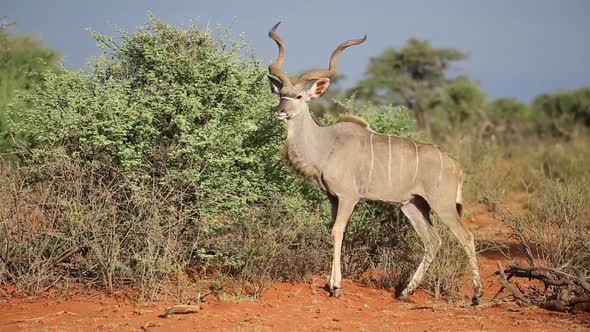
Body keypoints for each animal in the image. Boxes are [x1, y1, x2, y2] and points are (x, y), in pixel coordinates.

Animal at [268, 22, 486, 304]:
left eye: (298, 97)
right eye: (281, 95)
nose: (279, 111)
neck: (326, 145)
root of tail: (455, 166)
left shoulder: (349, 197)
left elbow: (337, 231)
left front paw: (336, 286)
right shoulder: (333, 198)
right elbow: (334, 229)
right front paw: (331, 283)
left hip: (443, 204)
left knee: (466, 236)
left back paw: (477, 294)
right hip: (412, 205)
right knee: (433, 241)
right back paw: (405, 292)